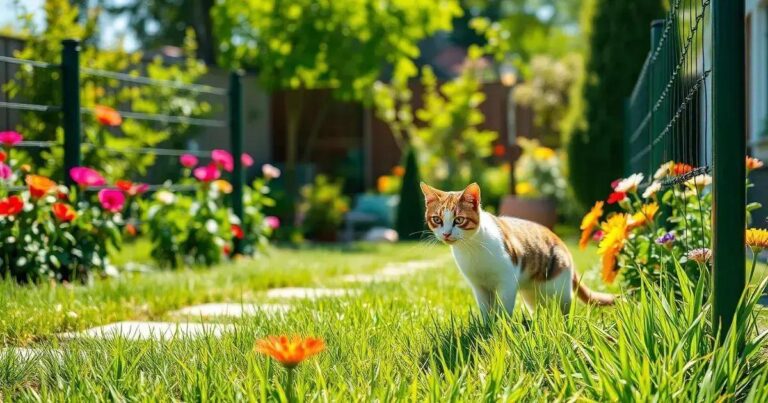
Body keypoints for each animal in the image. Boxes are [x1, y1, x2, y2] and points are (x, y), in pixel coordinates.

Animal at [420, 183, 612, 318]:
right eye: (437, 220)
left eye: (459, 220)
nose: (446, 234)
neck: (471, 248)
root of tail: (561, 241)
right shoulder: (479, 287)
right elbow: (485, 312)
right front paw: (486, 328)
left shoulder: (507, 282)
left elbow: (504, 309)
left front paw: (501, 329)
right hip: (531, 293)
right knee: (542, 308)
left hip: (560, 287)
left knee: (564, 307)